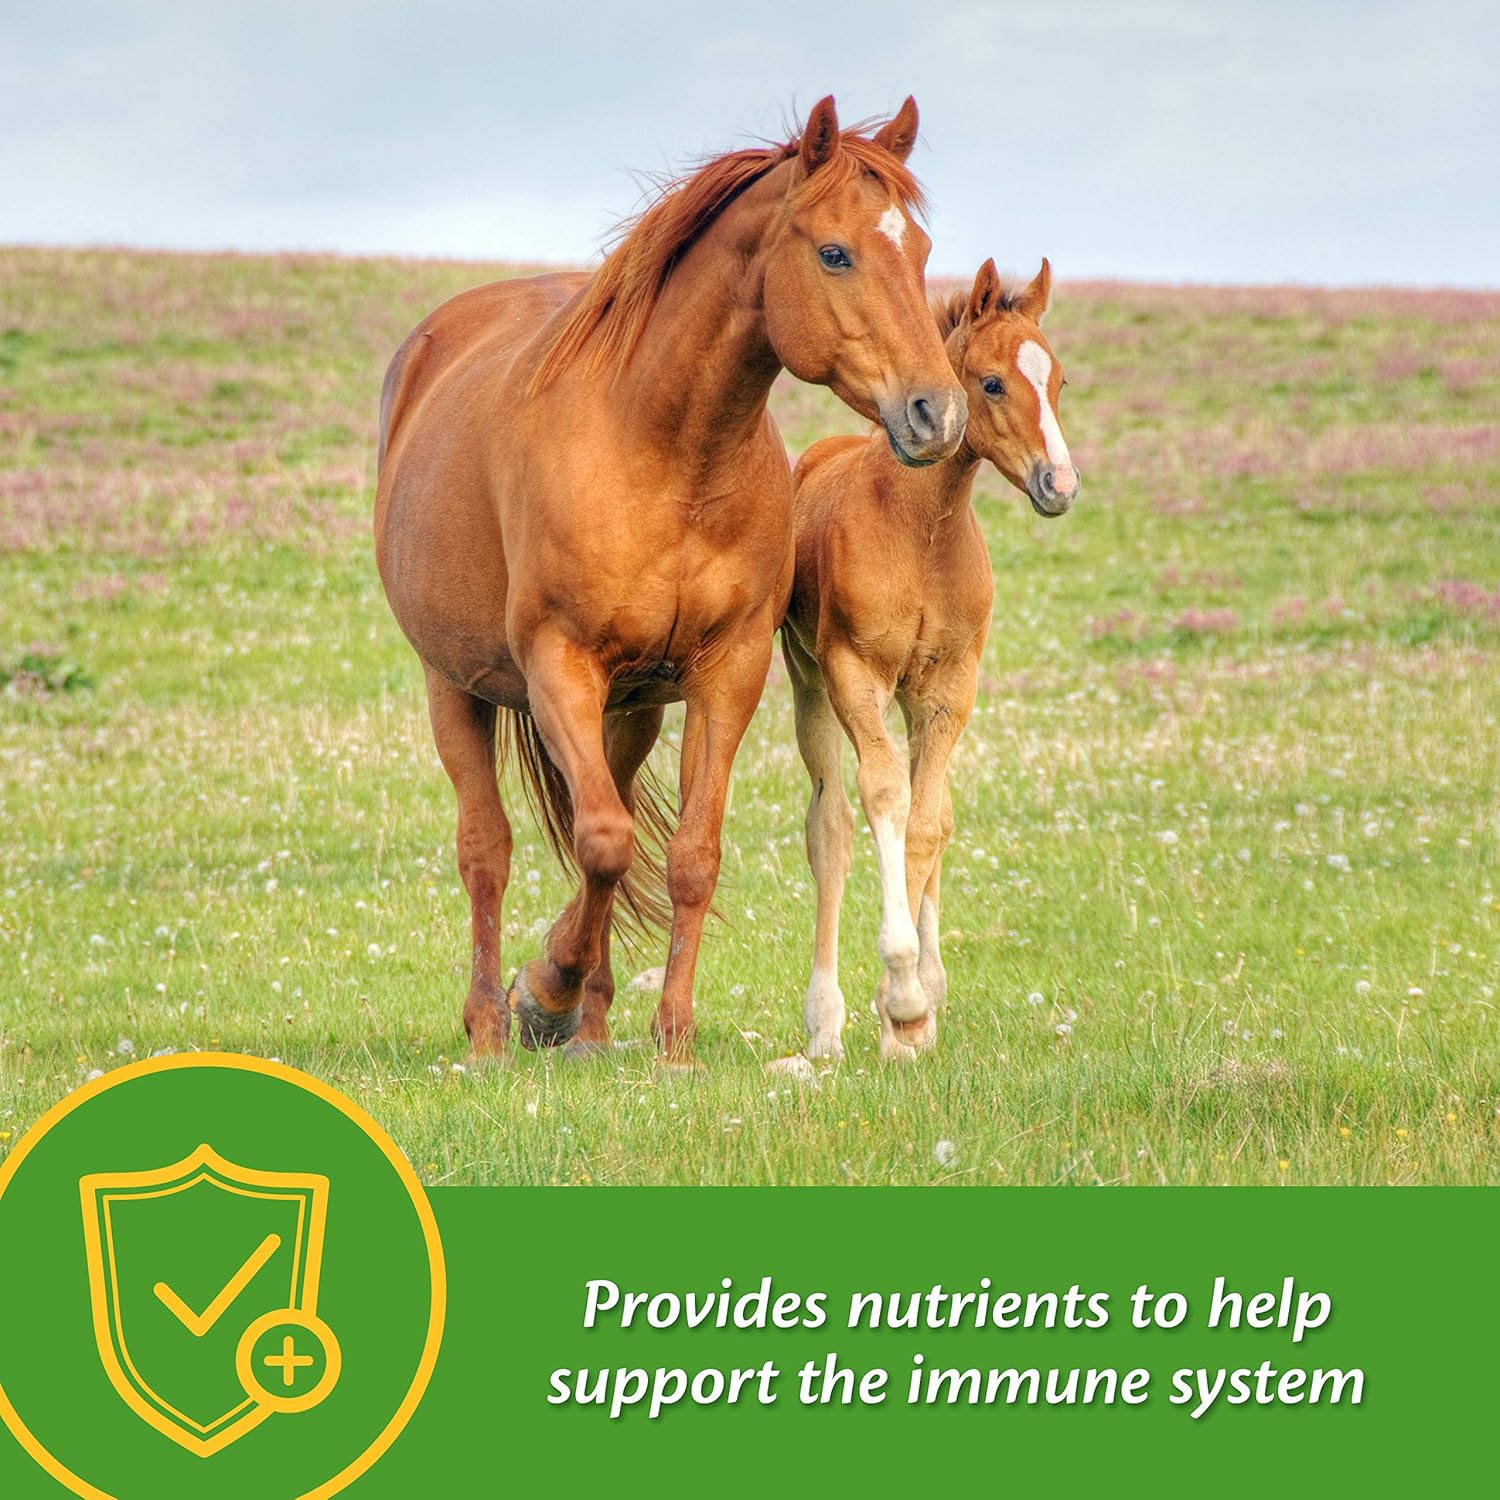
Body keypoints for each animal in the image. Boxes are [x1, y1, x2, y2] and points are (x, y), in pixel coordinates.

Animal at [375, 96, 966, 1065]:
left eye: (918, 251)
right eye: (834, 252)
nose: (937, 412)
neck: (666, 452)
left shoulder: (726, 673)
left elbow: (686, 856)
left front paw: (672, 1039)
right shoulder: (558, 665)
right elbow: (606, 843)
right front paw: (545, 991)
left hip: (630, 711)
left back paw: (593, 1027)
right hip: (454, 686)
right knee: (488, 849)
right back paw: (493, 1027)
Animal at [780, 256, 1078, 1062]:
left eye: (1059, 380)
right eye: (994, 383)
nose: (1060, 485)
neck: (920, 528)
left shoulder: (949, 687)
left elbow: (928, 823)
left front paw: (911, 1013)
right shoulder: (854, 674)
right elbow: (884, 799)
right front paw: (902, 992)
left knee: (927, 809)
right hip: (809, 685)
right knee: (830, 827)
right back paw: (824, 1023)